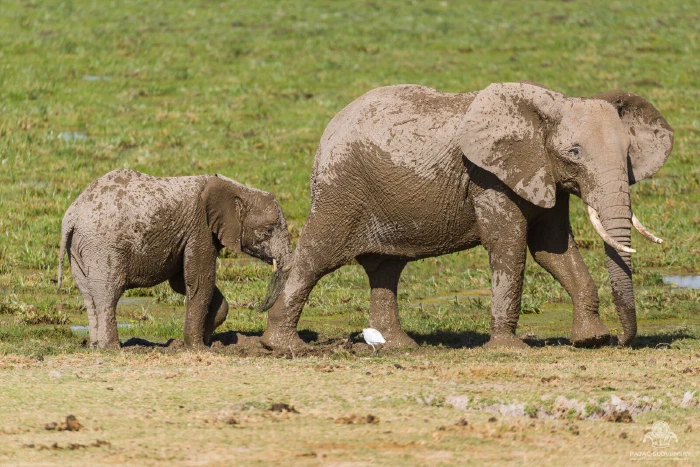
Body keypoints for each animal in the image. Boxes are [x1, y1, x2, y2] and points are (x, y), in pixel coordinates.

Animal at [57, 169, 291, 349]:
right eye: (269, 230)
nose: (261, 309)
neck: (237, 189)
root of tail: (72, 216)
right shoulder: (200, 227)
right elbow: (199, 280)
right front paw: (197, 348)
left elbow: (180, 282)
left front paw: (208, 338)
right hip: (102, 245)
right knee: (108, 292)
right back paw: (113, 348)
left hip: (79, 247)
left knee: (87, 294)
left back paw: (95, 346)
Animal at [260, 81, 673, 351]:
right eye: (574, 152)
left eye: (628, 154)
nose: (621, 341)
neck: (546, 109)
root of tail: (330, 127)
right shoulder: (487, 176)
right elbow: (509, 245)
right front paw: (510, 350)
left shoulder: (541, 174)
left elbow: (552, 249)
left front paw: (591, 340)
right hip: (341, 188)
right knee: (318, 256)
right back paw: (282, 347)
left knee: (386, 268)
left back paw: (401, 347)